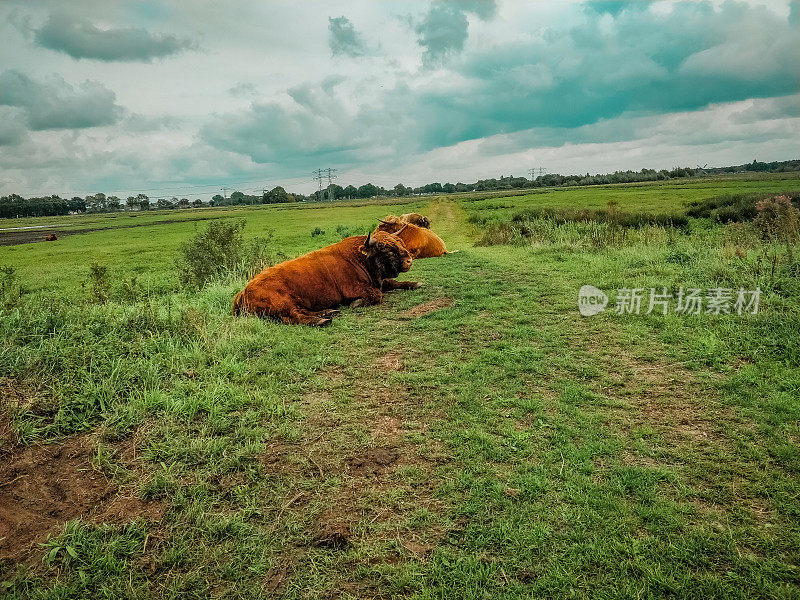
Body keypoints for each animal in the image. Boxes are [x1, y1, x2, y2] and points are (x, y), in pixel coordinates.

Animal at [231, 227, 418, 326]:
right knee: (294, 316)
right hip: (283, 304)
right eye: (386, 249)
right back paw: (322, 320)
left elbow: (393, 282)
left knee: (301, 311)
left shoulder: (379, 281)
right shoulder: (355, 289)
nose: (409, 260)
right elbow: (376, 295)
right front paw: (357, 303)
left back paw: (328, 312)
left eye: (400, 243)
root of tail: (244, 290)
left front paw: (414, 283)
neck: (359, 258)